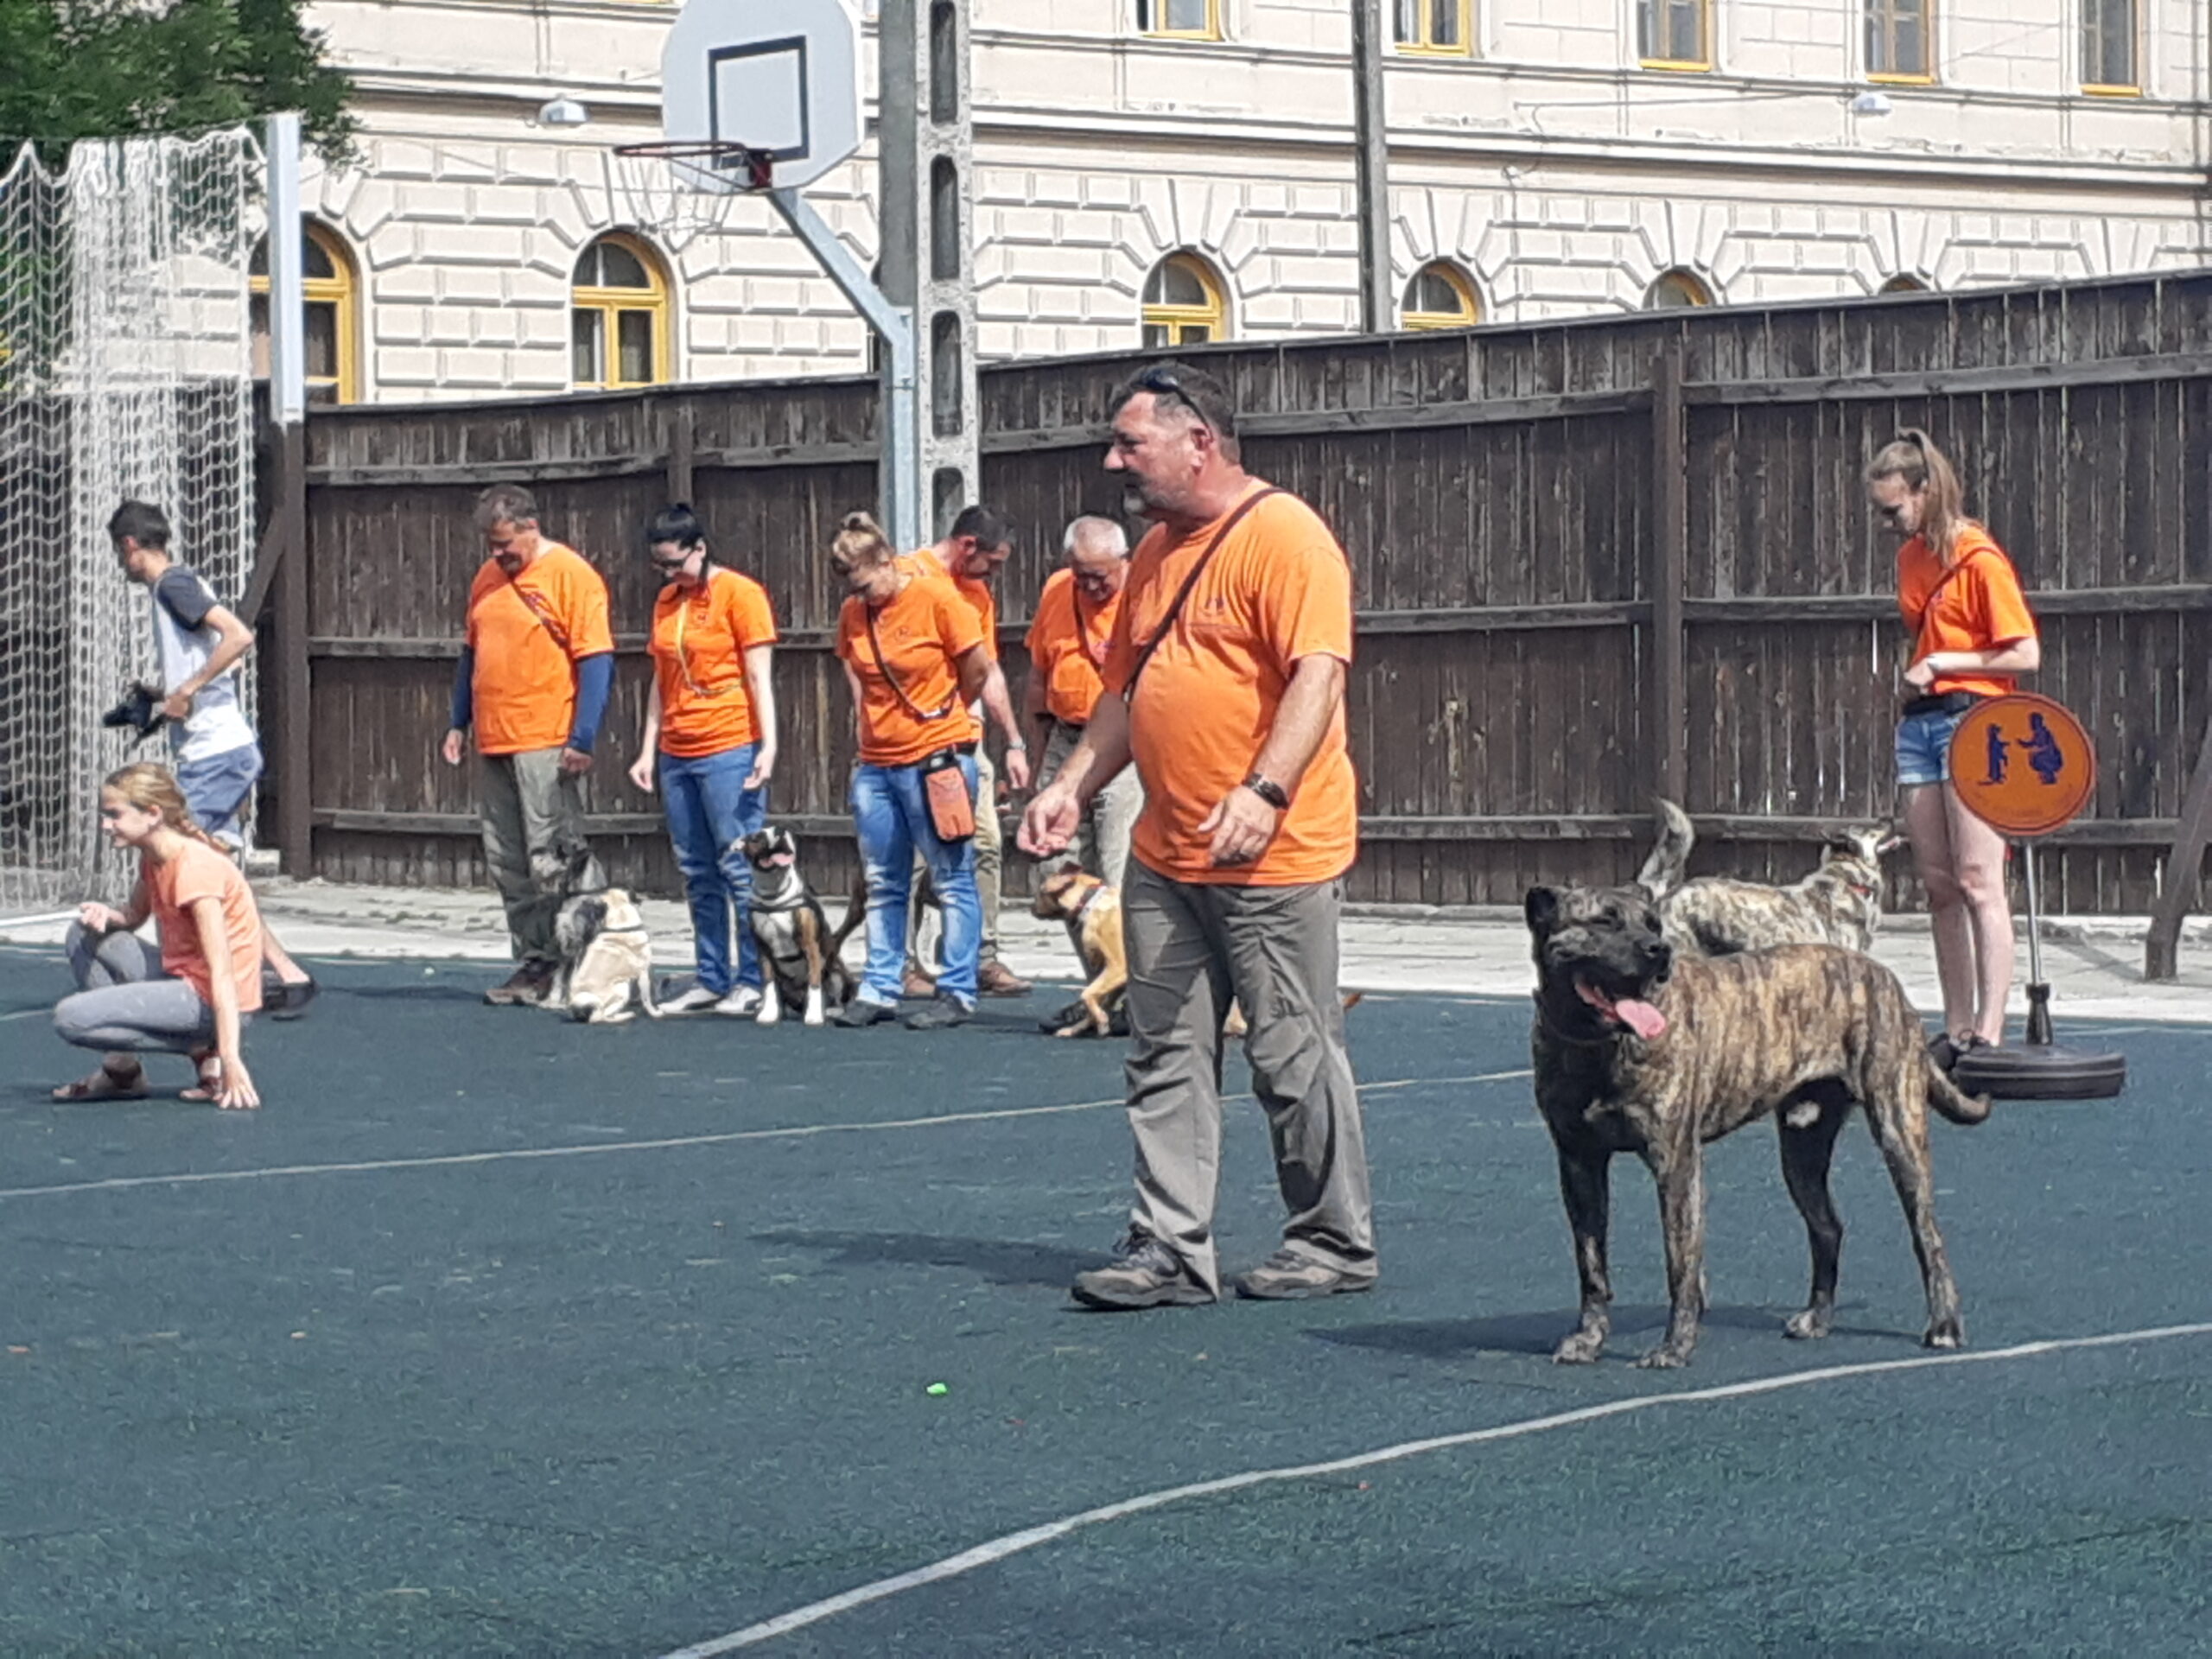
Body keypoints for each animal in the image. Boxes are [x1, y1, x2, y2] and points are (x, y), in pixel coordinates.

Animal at [734, 827, 854, 1026]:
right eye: (758, 837)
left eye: (785, 832)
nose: (779, 831)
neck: (774, 892)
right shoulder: (764, 949)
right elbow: (769, 984)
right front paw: (769, 1012)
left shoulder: (810, 946)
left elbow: (814, 984)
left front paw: (814, 1015)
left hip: (836, 974)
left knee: (835, 996)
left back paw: (832, 1010)